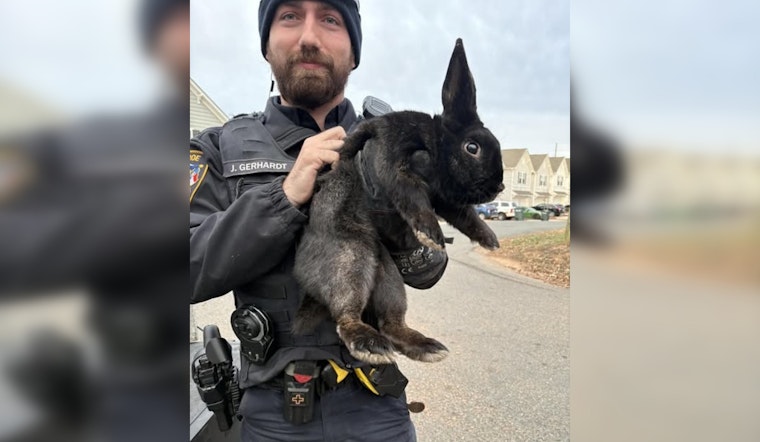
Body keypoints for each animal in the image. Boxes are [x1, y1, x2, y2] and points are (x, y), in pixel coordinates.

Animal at [293, 39, 504, 365]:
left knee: (392, 323)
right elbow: (413, 199)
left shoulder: (445, 200)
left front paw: (489, 240)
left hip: (389, 277)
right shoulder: (394, 164)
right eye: (473, 147)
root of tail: (306, 280)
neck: (436, 143)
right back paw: (369, 344)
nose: (499, 186)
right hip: (351, 258)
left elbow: (467, 217)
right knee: (346, 315)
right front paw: (432, 235)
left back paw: (428, 347)